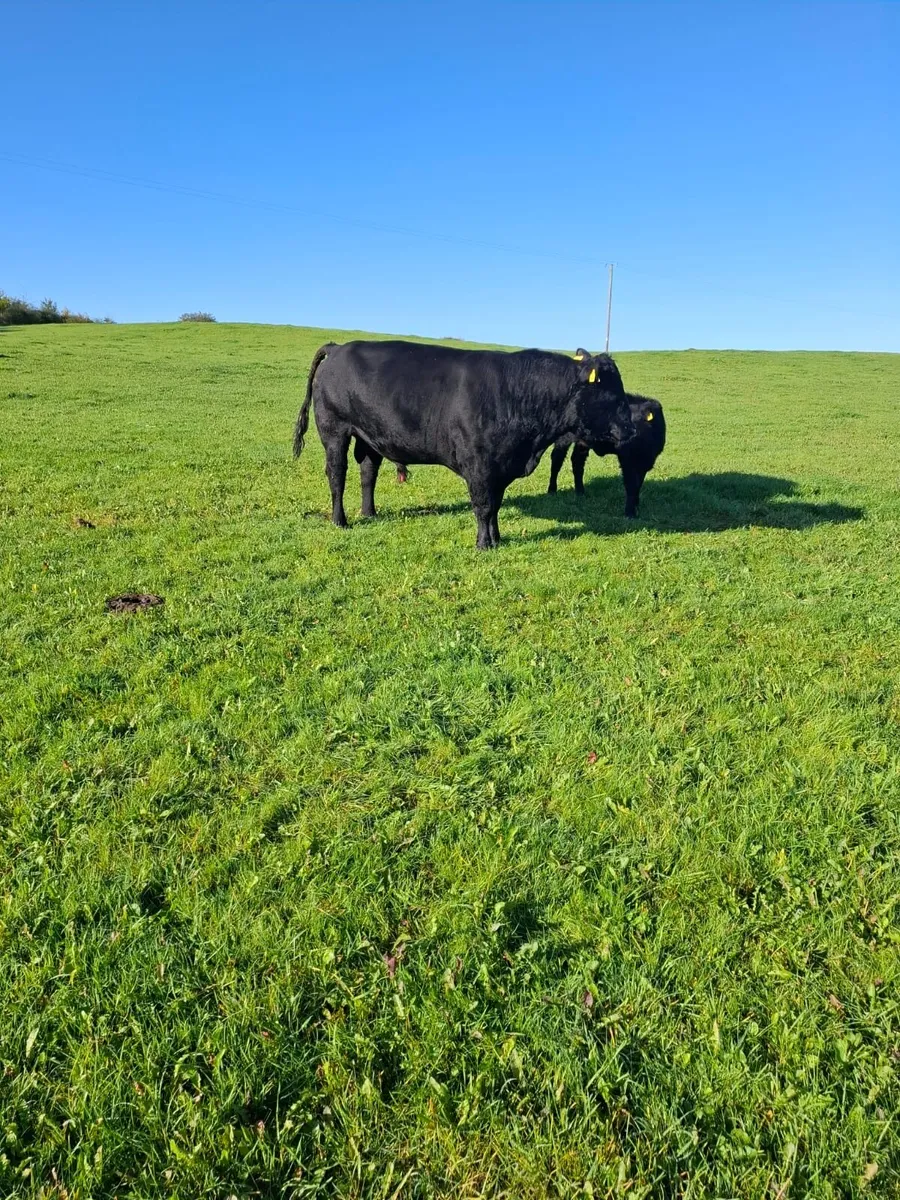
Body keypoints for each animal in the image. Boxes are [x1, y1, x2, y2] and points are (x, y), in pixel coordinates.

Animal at [293, 341, 636, 549]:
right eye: (610, 392)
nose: (632, 428)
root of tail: (339, 347)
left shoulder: (500, 466)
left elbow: (495, 505)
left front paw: (497, 539)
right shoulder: (479, 464)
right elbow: (483, 506)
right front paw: (484, 544)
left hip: (369, 437)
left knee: (368, 473)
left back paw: (370, 513)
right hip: (334, 430)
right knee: (337, 475)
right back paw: (341, 521)